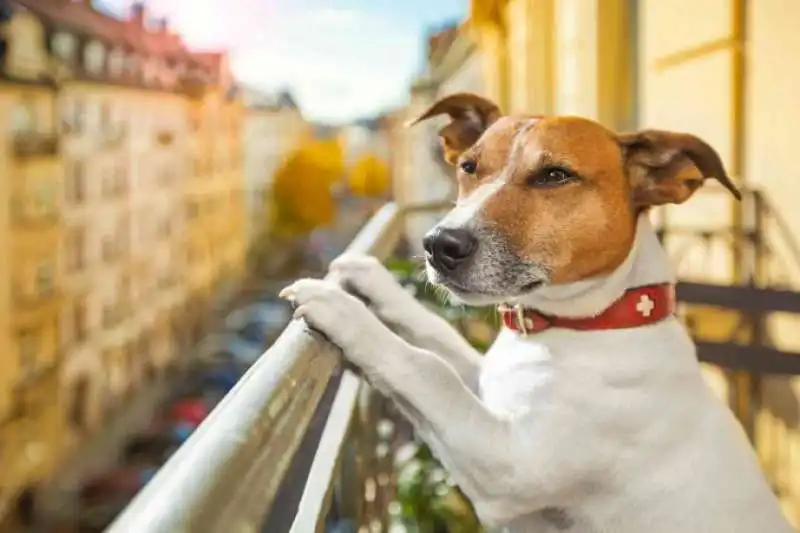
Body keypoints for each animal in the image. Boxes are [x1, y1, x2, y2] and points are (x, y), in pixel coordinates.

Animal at [282, 93, 792, 528]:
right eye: (468, 167)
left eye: (555, 175)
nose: (438, 245)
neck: (583, 324)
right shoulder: (486, 382)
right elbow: (437, 336)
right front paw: (367, 277)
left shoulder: (506, 465)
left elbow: (427, 367)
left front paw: (340, 309)